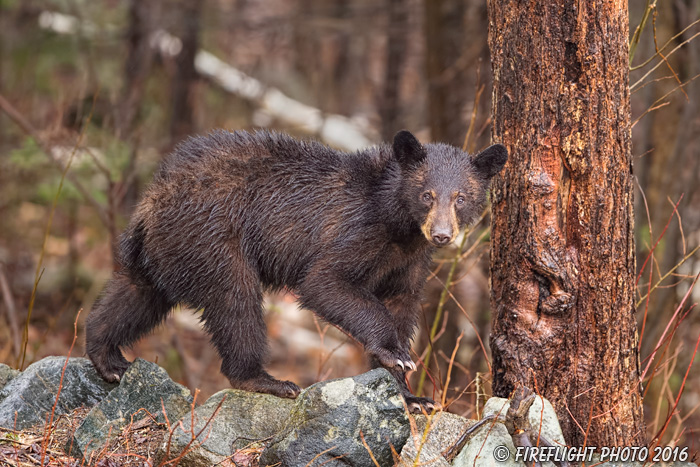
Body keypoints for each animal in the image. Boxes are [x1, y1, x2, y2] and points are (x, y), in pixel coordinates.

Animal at [85, 130, 506, 412]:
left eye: (461, 197)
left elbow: (403, 306)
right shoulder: (357, 231)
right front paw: (394, 354)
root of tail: (153, 195)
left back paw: (108, 358)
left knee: (136, 292)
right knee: (236, 301)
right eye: (427, 195)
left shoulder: (409, 264)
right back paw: (264, 379)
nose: (441, 234)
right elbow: (325, 282)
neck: (398, 224)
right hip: (212, 236)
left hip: (167, 249)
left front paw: (411, 394)